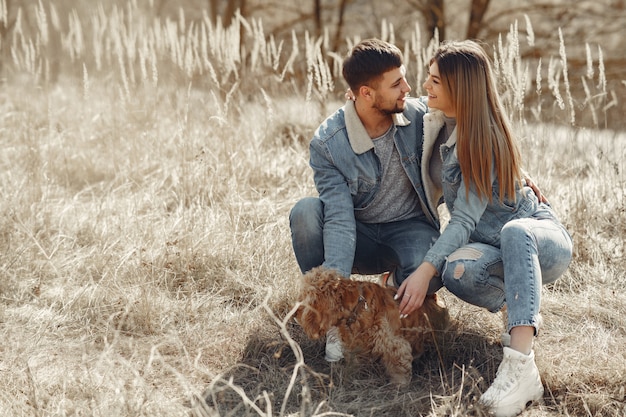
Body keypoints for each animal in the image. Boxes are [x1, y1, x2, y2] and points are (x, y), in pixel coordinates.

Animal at [294, 266, 448, 384]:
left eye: (309, 297)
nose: (294, 313)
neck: (357, 308)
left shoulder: (395, 344)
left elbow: (399, 368)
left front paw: (399, 386)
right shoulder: (355, 345)